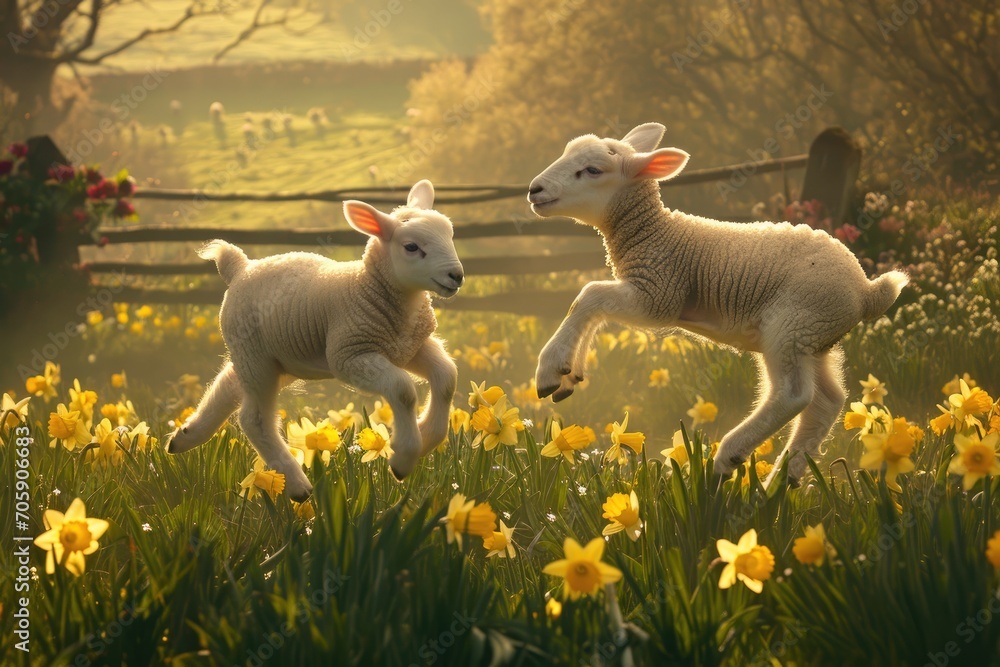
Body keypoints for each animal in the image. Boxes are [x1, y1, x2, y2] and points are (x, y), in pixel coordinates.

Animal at [165, 180, 466, 500]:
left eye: (450, 236)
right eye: (411, 247)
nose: (456, 275)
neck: (368, 289)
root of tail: (241, 267)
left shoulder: (411, 346)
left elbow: (447, 378)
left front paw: (428, 436)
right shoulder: (349, 355)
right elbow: (403, 390)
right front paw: (404, 458)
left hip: (274, 357)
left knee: (228, 384)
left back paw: (185, 437)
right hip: (254, 353)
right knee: (253, 418)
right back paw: (297, 486)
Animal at [526, 122, 907, 485]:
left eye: (592, 170)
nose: (534, 190)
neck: (653, 234)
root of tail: (866, 290)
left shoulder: (659, 294)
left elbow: (589, 295)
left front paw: (549, 371)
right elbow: (591, 305)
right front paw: (569, 374)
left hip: (794, 324)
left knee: (793, 395)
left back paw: (729, 457)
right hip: (817, 337)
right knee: (827, 402)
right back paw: (781, 482)